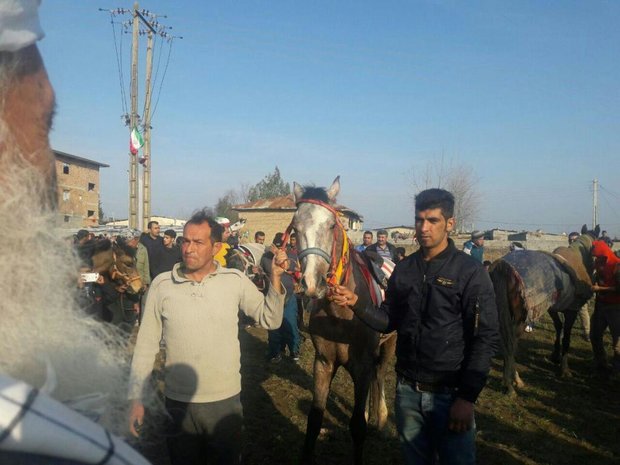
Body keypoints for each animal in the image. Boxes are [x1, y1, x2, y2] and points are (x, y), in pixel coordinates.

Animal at [290, 177, 398, 464]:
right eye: (295, 228)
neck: (340, 316)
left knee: (380, 374)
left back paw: (381, 418)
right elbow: (314, 420)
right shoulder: (323, 363)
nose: (311, 284)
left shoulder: (361, 367)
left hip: (390, 344)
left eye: (331, 225)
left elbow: (357, 427)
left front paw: (370, 420)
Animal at [492, 223, 600, 394]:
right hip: (520, 318)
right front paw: (564, 369)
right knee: (511, 344)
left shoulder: (552, 308)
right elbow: (566, 337)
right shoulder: (572, 310)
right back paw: (512, 383)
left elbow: (558, 327)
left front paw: (555, 356)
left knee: (506, 343)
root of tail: (502, 269)